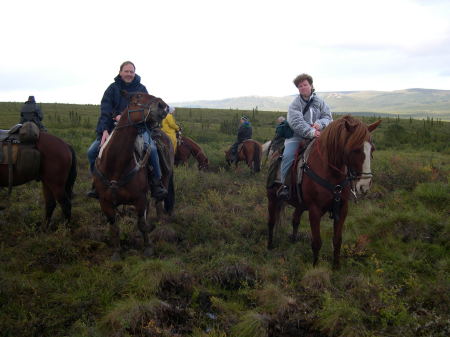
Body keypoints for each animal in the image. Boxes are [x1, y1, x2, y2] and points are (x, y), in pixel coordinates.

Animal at [92, 90, 173, 258]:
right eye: (137, 97)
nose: (163, 105)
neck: (115, 165)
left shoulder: (140, 199)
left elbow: (141, 223)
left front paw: (148, 247)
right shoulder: (105, 202)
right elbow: (114, 228)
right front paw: (117, 252)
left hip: (165, 179)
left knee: (159, 201)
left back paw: (160, 222)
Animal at [266, 115, 382, 268]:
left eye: (372, 149)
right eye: (355, 149)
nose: (364, 186)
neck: (330, 172)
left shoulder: (342, 208)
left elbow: (337, 240)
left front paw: (336, 267)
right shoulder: (315, 210)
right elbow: (316, 242)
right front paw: (315, 266)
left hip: (300, 204)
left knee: (295, 220)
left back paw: (293, 241)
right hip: (272, 198)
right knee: (271, 222)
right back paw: (269, 245)